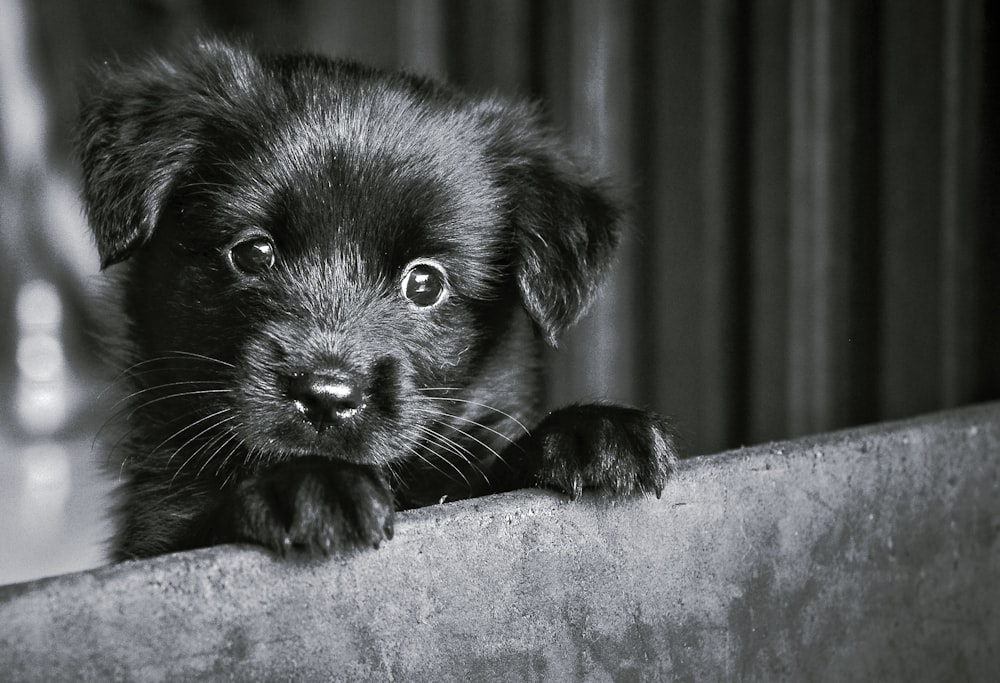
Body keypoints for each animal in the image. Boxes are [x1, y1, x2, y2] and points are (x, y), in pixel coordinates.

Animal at [76, 38, 672, 560]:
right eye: (252, 252)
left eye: (425, 284)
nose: (325, 396)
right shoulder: (152, 535)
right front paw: (308, 483)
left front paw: (594, 431)